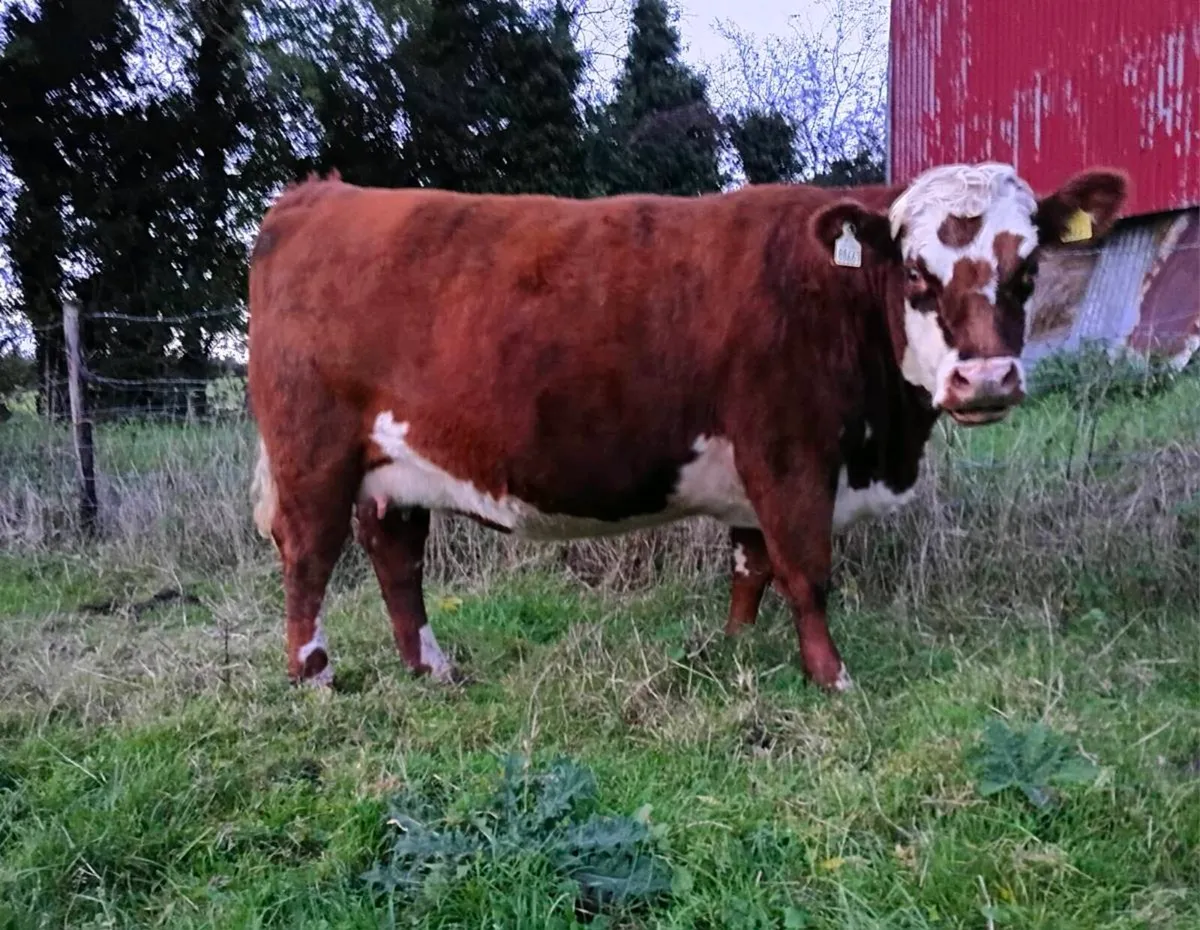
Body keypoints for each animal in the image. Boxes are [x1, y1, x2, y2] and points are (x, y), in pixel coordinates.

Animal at [247, 162, 1127, 693]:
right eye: (916, 271)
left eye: (1028, 268)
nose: (986, 379)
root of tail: (321, 194)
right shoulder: (790, 453)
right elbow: (807, 569)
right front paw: (831, 676)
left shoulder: (757, 474)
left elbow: (751, 566)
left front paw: (737, 647)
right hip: (313, 453)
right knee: (310, 557)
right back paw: (314, 674)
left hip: (392, 468)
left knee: (395, 556)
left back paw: (430, 665)